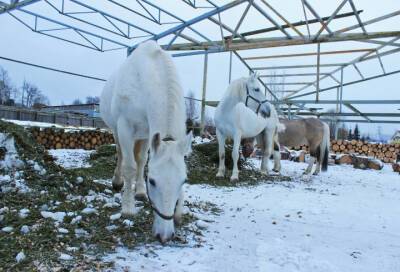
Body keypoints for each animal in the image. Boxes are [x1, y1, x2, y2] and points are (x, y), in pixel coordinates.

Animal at [99, 39, 191, 242]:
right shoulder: (125, 127)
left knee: (140, 159)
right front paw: (128, 208)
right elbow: (129, 167)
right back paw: (118, 182)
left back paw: (139, 191)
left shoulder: (149, 133)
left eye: (183, 181)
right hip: (117, 130)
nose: (165, 235)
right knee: (121, 154)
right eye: (153, 181)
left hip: (141, 136)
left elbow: (141, 162)